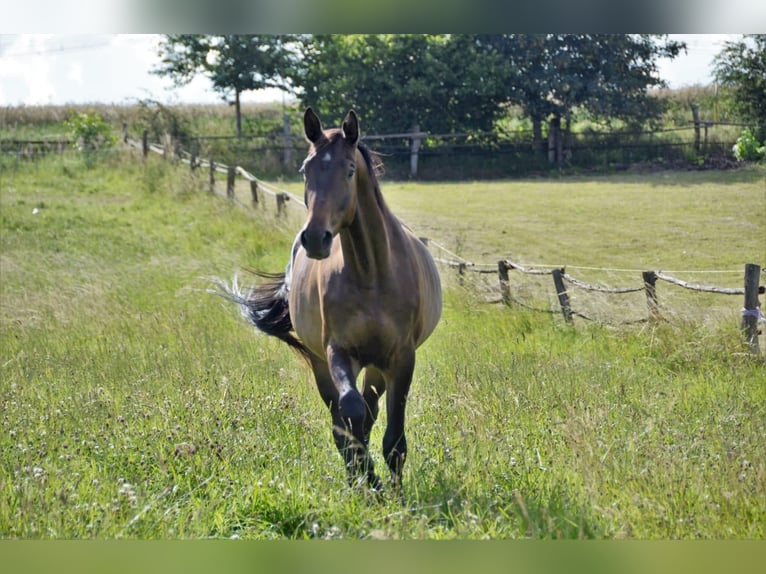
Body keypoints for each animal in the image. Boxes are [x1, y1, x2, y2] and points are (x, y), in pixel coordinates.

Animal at [216, 109, 444, 490]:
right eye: (305, 169)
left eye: (349, 169)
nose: (314, 238)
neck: (372, 274)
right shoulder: (338, 350)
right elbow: (350, 412)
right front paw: (371, 482)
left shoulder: (401, 357)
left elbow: (393, 438)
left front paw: (394, 492)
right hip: (320, 360)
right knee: (344, 417)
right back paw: (358, 479)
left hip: (377, 366)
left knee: (370, 411)